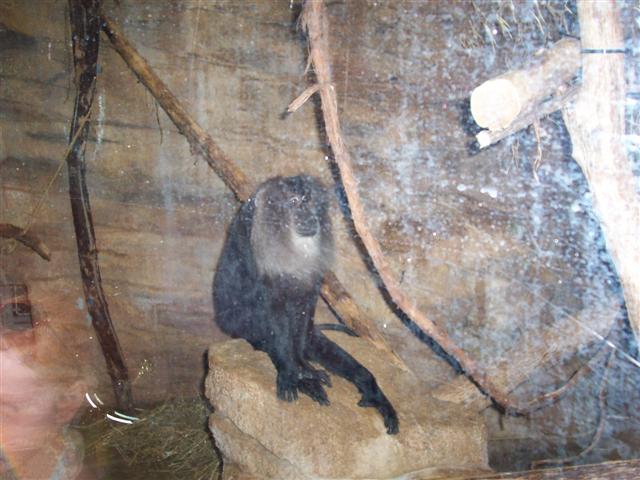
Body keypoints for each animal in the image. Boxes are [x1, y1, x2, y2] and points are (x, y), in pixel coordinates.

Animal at [213, 175, 399, 434]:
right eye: (294, 202)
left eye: (310, 202)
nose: (309, 216)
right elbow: (272, 305)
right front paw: (295, 373)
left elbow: (306, 302)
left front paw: (302, 365)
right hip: (237, 324)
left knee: (316, 342)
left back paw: (370, 389)